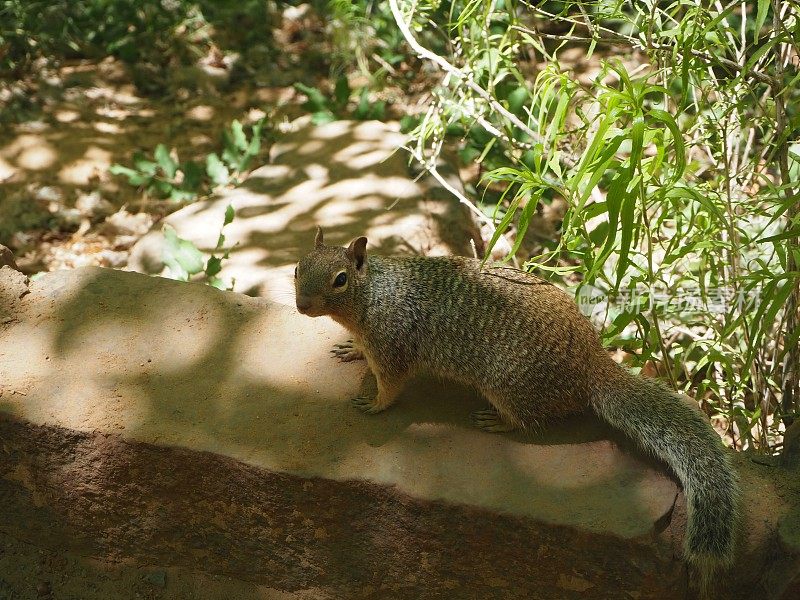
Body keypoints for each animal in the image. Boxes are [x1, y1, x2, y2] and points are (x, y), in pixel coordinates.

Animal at [296, 227, 740, 584]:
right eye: (298, 267)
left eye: (340, 280)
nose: (301, 306)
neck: (372, 294)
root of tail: (592, 365)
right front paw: (350, 349)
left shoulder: (391, 344)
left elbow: (390, 384)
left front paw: (374, 403)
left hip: (507, 385)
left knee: (529, 420)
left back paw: (498, 422)